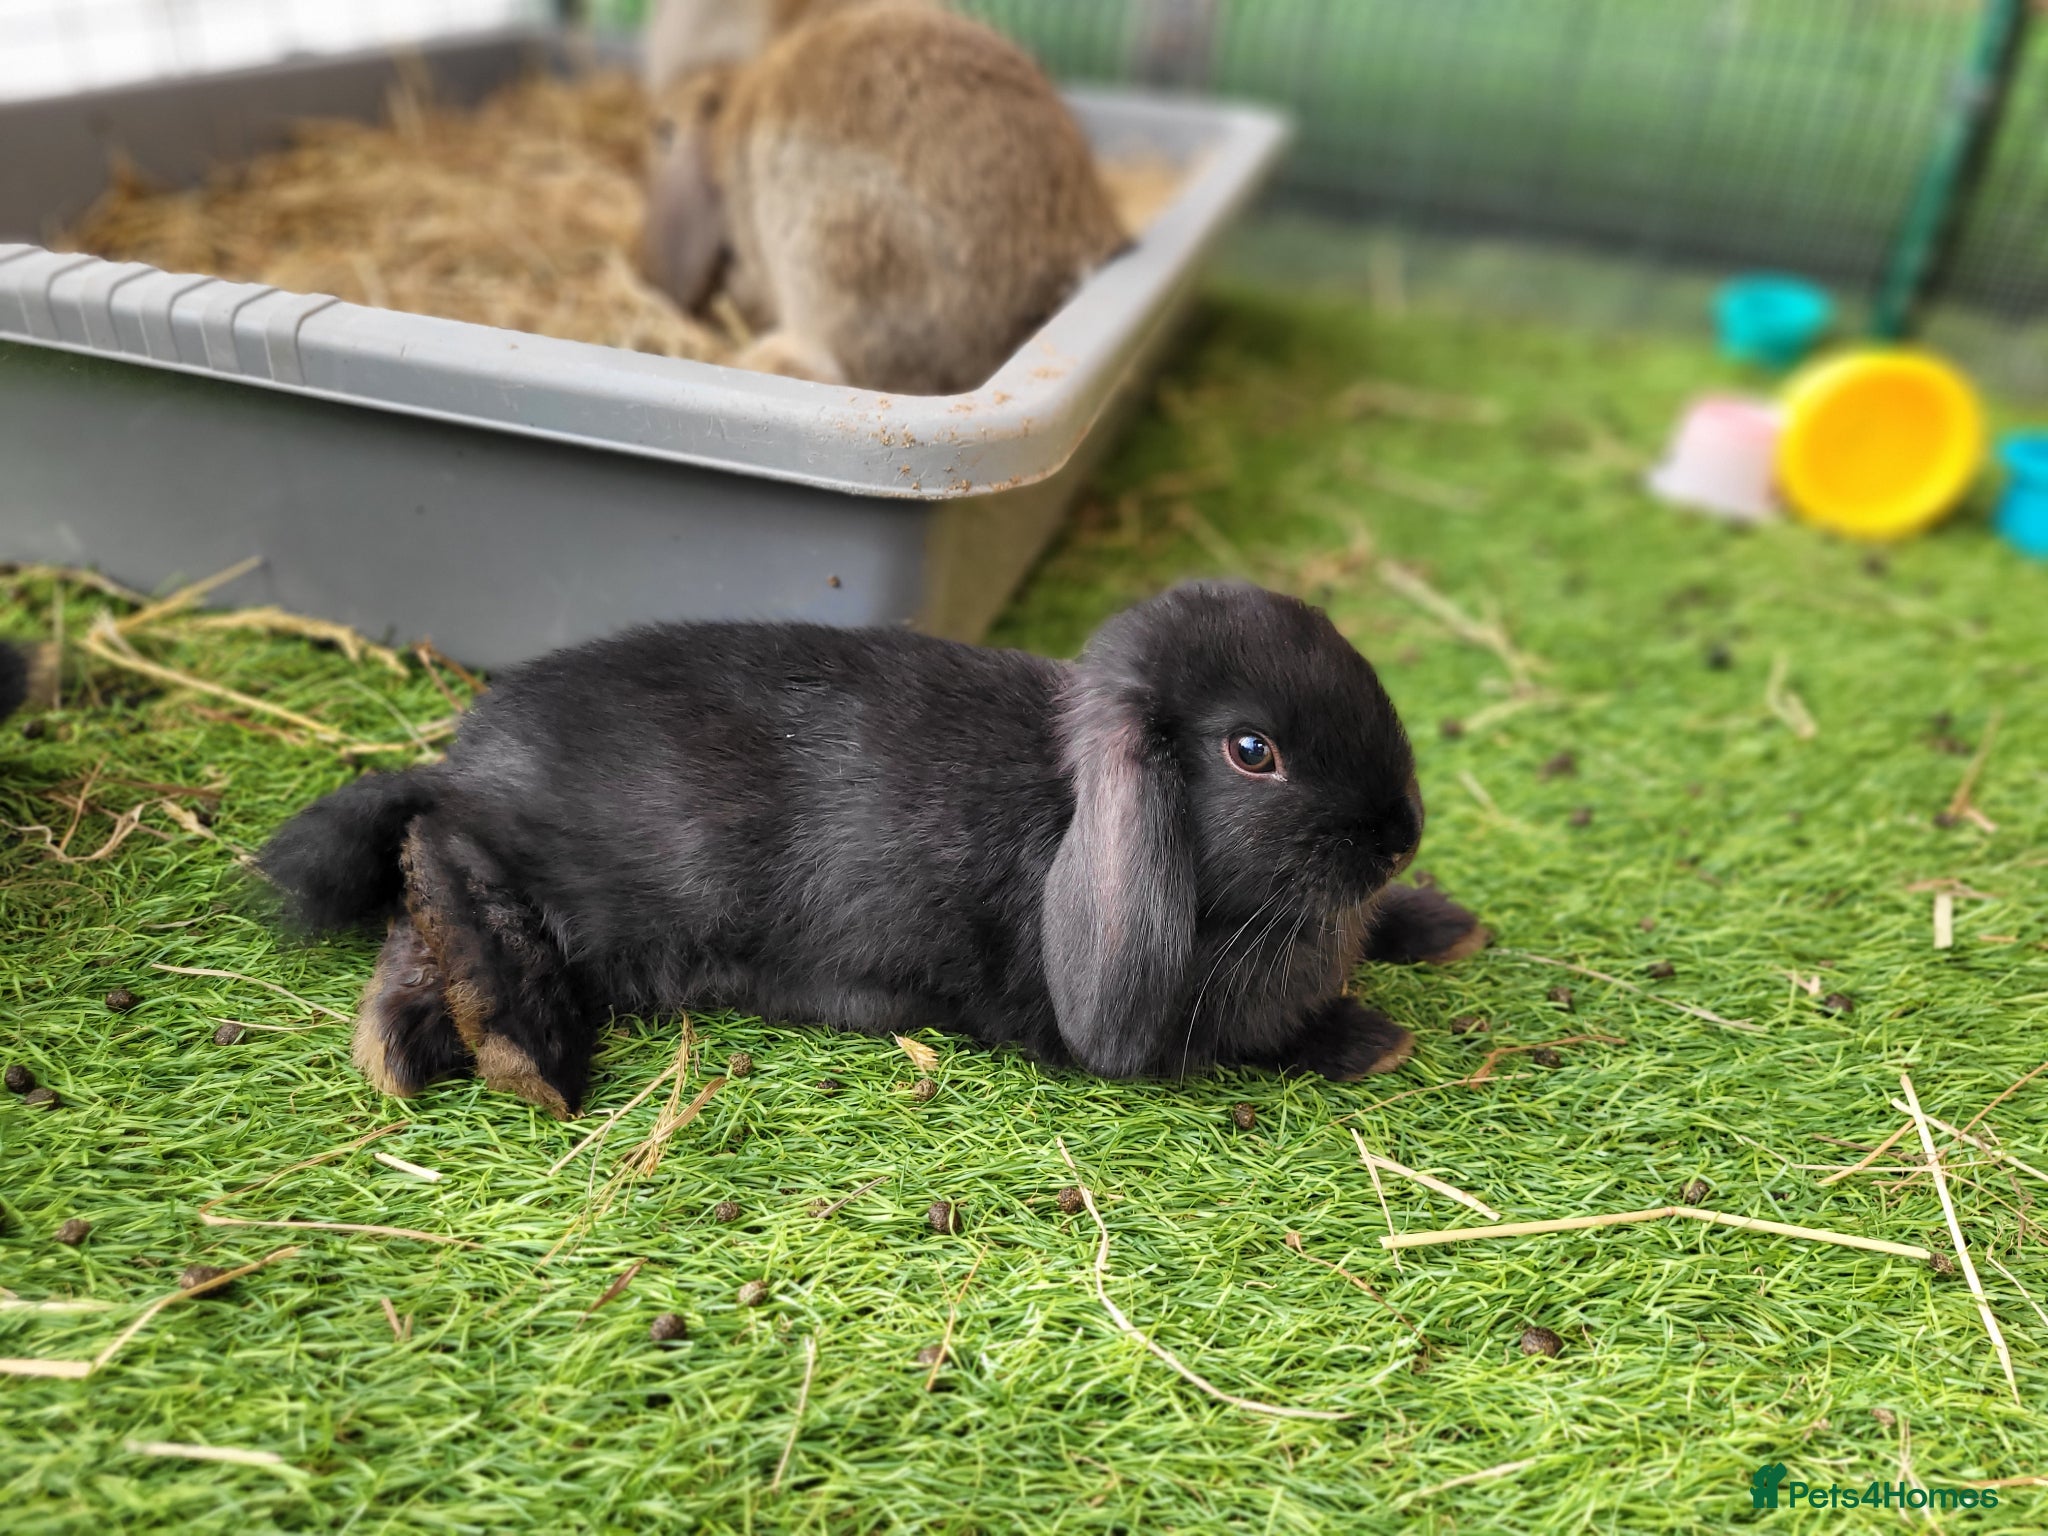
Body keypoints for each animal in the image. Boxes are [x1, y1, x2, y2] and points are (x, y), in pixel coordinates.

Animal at [259, 584, 1487, 1118]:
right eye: (1252, 751)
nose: (1399, 837)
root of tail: (468, 764)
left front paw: (1441, 923)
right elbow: (1258, 1042)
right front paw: (1369, 1039)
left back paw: (410, 1047)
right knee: (441, 861)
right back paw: (522, 1050)